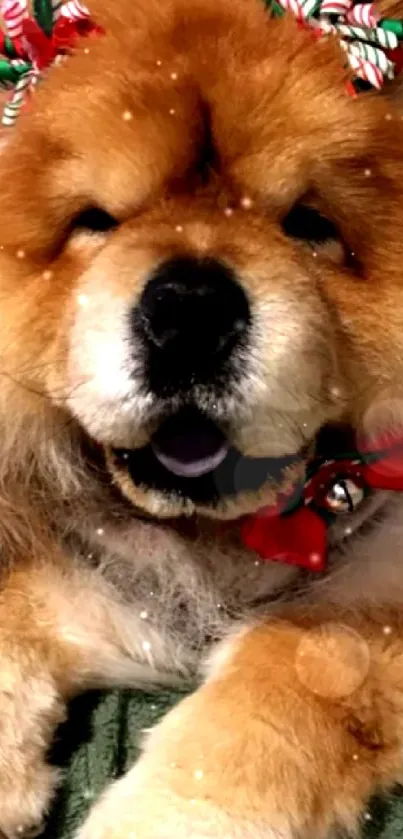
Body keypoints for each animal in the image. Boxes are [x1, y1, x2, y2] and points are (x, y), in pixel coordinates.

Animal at [0, 0, 403, 836]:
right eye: (96, 220)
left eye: (307, 223)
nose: (190, 308)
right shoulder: (93, 565)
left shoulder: (374, 594)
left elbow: (275, 691)